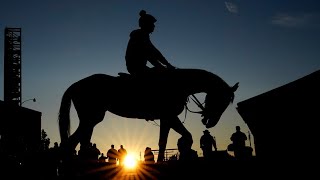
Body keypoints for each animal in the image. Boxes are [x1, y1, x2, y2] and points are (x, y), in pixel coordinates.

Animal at [57, 68, 239, 162]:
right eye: (221, 100)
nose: (210, 122)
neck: (179, 83)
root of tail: (75, 85)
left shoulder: (168, 118)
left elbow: (174, 139)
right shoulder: (168, 117)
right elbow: (168, 140)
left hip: (90, 120)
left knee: (81, 143)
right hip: (91, 118)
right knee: (71, 144)